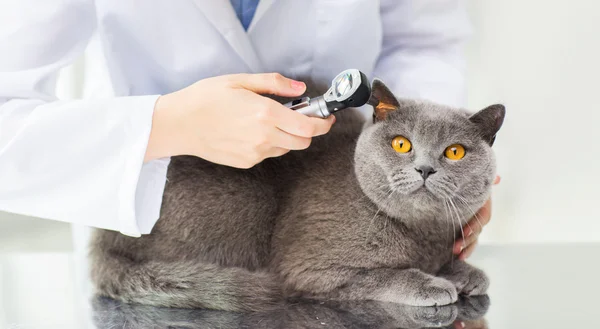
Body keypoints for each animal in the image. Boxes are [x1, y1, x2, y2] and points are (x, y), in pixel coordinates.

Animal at [88, 78, 502, 312]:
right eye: (402, 144)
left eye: (455, 152)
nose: (425, 168)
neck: (421, 235)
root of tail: (104, 236)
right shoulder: (309, 270)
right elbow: (381, 276)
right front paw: (432, 283)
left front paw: (463, 272)